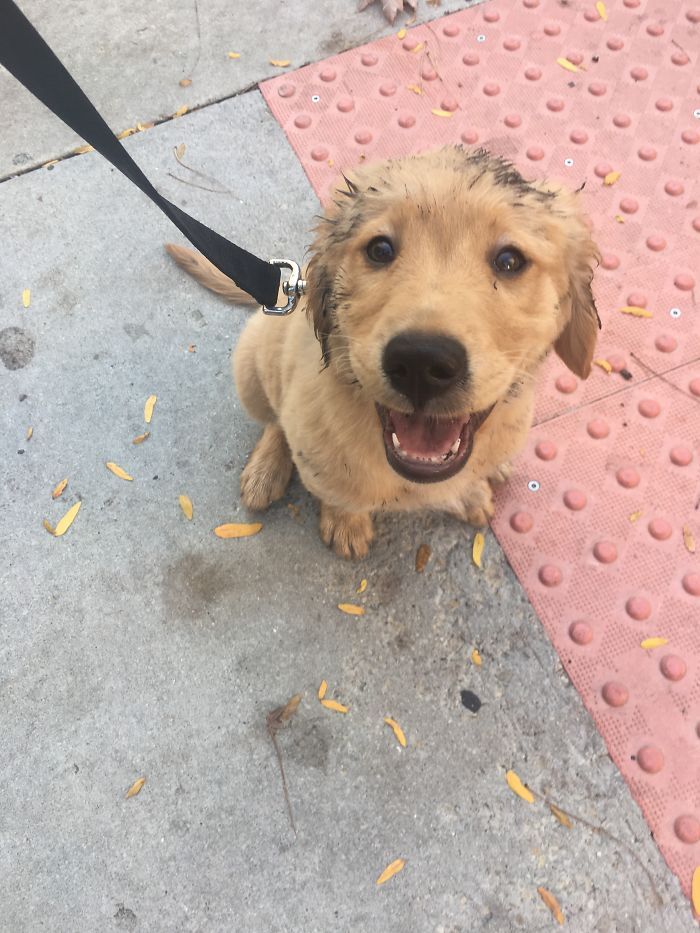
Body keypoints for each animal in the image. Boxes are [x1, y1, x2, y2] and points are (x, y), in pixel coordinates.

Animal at [167, 146, 600, 552]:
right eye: (380, 250)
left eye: (510, 261)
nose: (421, 362)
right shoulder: (315, 453)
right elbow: (337, 493)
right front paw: (345, 522)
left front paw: (469, 492)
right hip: (252, 365)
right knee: (274, 419)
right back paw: (265, 470)